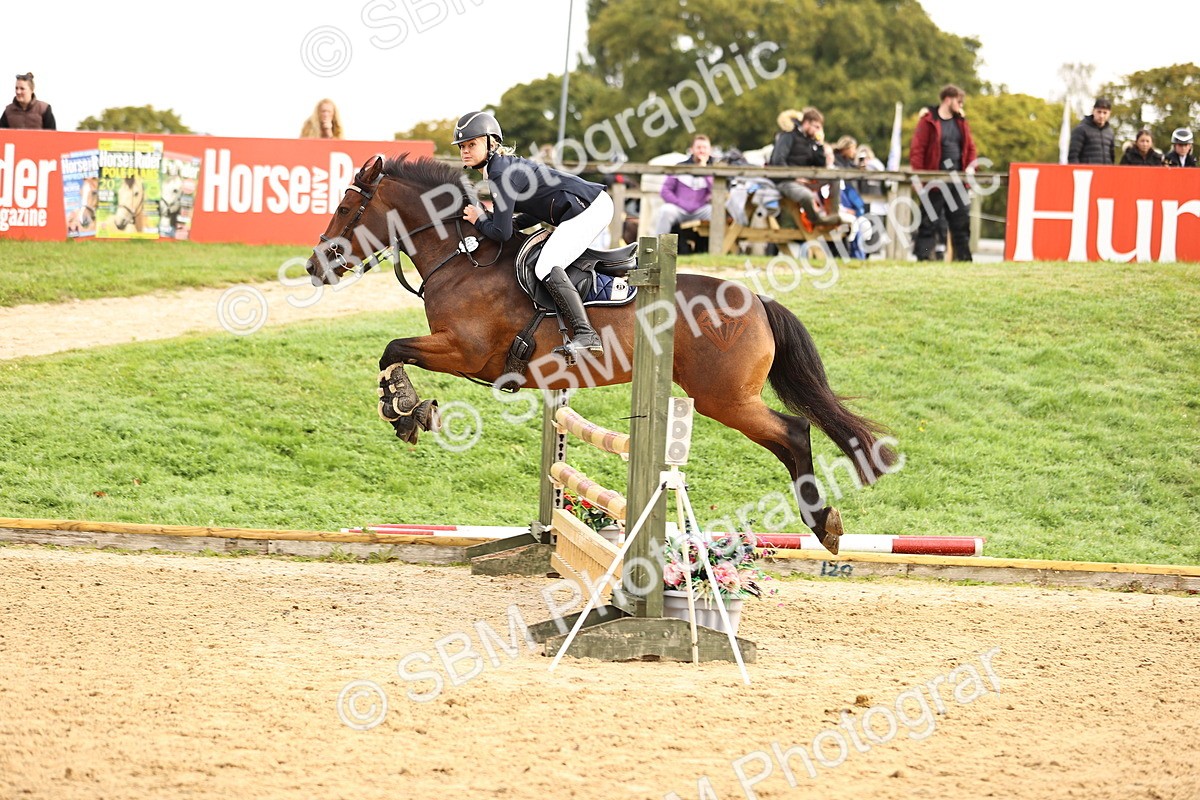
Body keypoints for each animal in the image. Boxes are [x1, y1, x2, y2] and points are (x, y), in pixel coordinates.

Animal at [304, 154, 897, 553]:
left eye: (346, 206)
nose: (313, 266)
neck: (461, 259)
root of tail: (755, 299)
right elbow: (392, 352)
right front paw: (410, 410)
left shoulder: (465, 353)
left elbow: (392, 349)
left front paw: (405, 410)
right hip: (724, 398)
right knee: (791, 435)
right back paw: (823, 523)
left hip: (723, 398)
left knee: (794, 432)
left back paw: (823, 525)